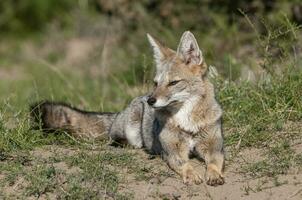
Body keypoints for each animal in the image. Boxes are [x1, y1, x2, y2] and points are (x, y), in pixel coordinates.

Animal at [31, 31, 224, 186]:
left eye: (173, 83)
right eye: (156, 83)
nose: (151, 100)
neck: (186, 120)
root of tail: (121, 112)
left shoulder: (214, 146)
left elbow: (215, 162)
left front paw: (214, 175)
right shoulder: (172, 150)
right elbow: (184, 164)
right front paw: (191, 174)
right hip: (131, 129)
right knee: (115, 139)